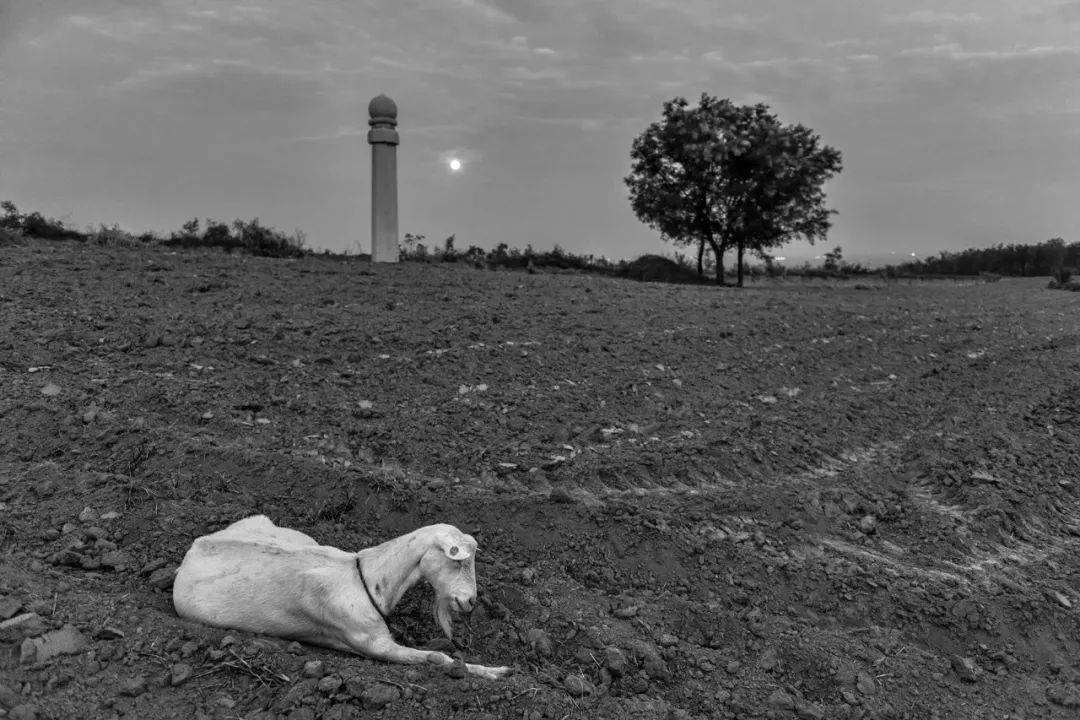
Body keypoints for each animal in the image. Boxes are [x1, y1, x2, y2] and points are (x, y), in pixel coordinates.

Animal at [174, 515, 511, 677]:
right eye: (459, 561)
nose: (471, 601)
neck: (368, 579)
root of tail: (193, 549)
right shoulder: (371, 643)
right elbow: (436, 657)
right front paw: (497, 672)